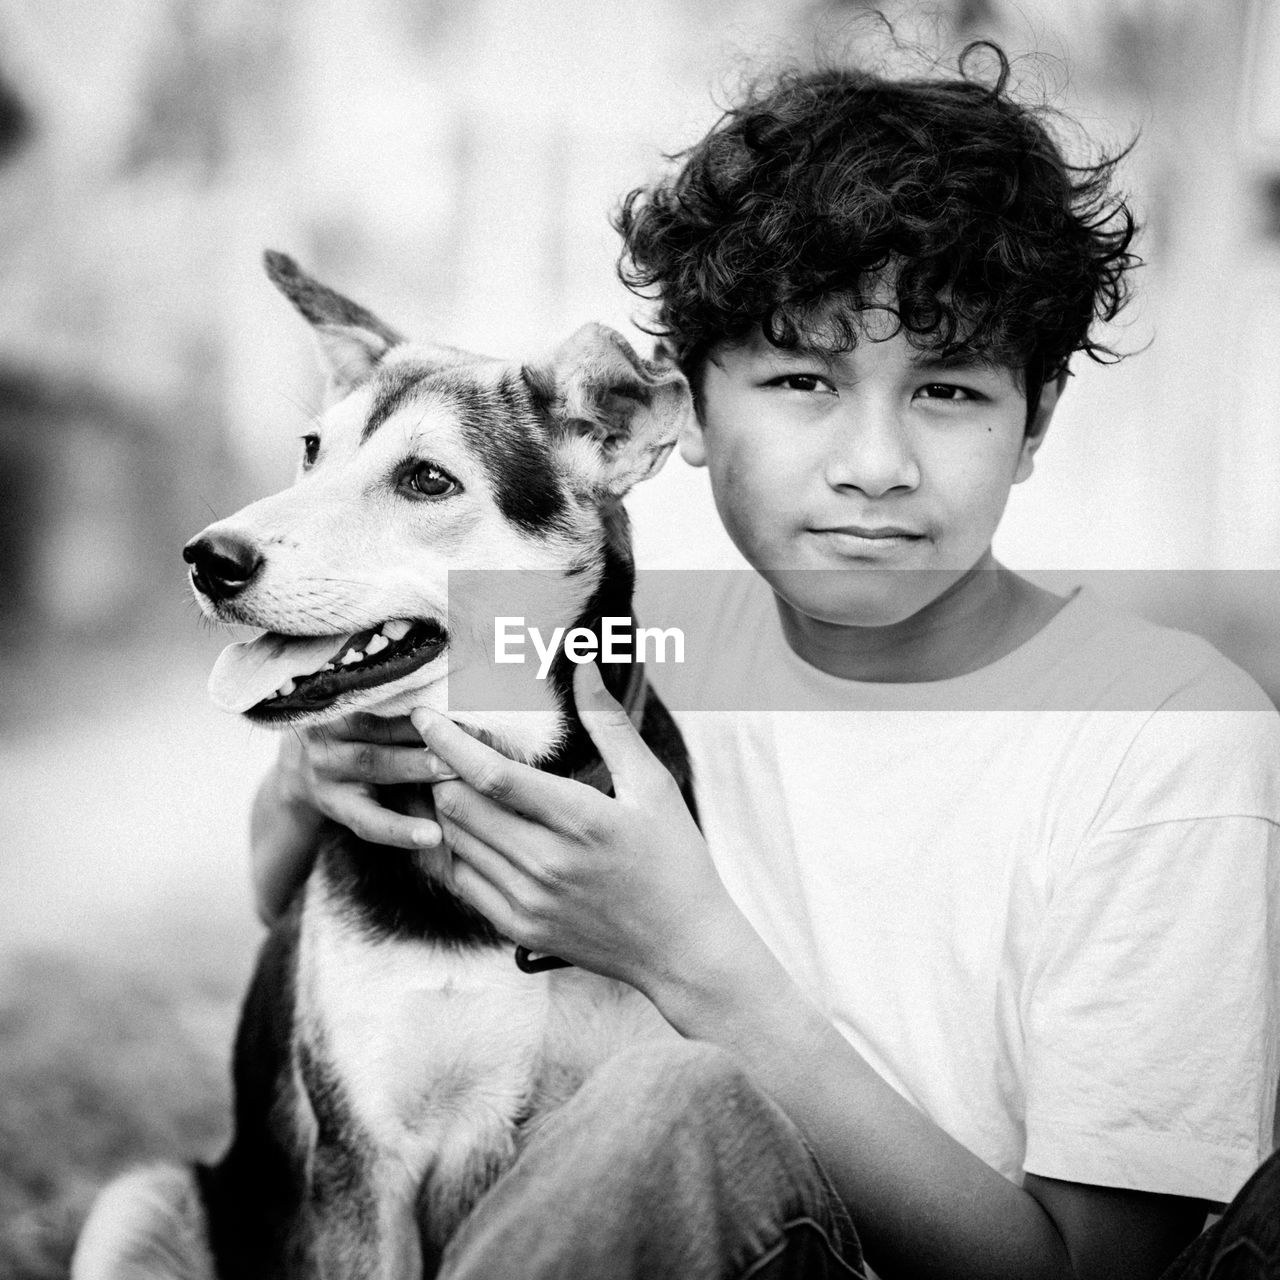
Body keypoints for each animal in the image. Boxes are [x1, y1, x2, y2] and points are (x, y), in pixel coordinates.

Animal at [73, 252, 696, 1280]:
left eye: (427, 480)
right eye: (311, 449)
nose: (209, 557)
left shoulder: (609, 1104)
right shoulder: (363, 1161)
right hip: (141, 1197)